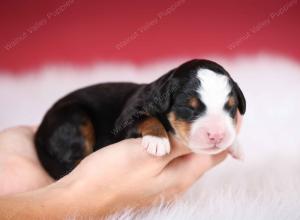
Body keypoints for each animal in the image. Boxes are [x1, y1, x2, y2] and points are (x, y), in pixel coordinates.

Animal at [35, 59, 246, 180]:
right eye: (189, 108)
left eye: (230, 107)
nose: (217, 136)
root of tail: (39, 132)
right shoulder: (124, 122)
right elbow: (147, 119)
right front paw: (157, 140)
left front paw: (236, 144)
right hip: (74, 117)